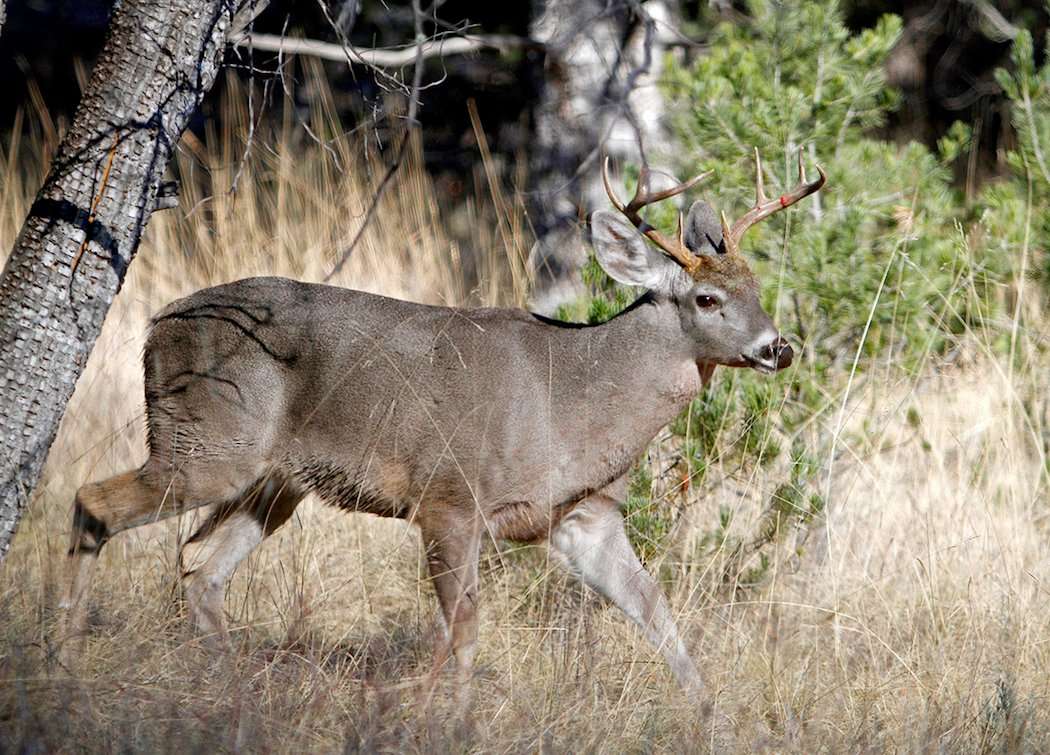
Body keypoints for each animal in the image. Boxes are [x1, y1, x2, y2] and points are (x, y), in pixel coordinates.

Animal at [60, 148, 825, 694]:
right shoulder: (450, 496)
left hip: (275, 481)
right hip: (210, 439)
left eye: (757, 289)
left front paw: (708, 715)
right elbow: (464, 635)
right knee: (94, 502)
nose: (778, 347)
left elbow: (660, 617)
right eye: (705, 299)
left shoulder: (583, 514)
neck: (573, 400)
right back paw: (63, 654)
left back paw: (227, 685)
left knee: (199, 568)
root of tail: (158, 323)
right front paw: (452, 720)